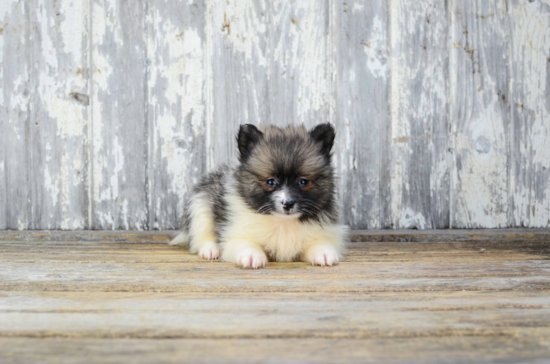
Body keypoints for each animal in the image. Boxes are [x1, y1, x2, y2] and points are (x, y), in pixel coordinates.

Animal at [170, 123, 348, 268]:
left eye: (303, 182)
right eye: (270, 182)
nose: (288, 203)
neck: (282, 222)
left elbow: (321, 243)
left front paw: (324, 253)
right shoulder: (236, 235)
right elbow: (246, 244)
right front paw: (251, 256)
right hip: (200, 206)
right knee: (201, 235)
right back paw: (211, 250)